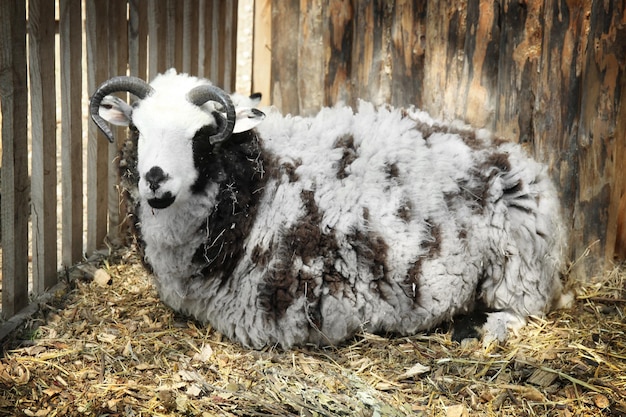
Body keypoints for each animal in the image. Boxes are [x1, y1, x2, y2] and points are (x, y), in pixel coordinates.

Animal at [90, 69, 568, 348]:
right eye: (137, 129)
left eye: (204, 135)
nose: (156, 180)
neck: (258, 189)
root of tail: (523, 160)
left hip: (519, 267)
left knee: (521, 311)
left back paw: (478, 328)